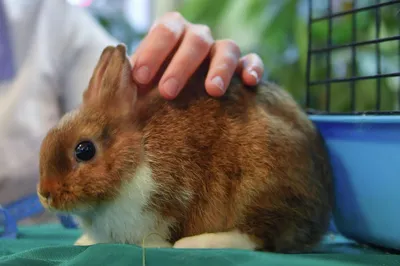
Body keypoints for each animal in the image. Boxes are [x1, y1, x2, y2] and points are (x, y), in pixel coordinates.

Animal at [37, 43, 332, 251]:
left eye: (84, 150)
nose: (45, 194)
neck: (139, 152)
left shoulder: (166, 204)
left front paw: (156, 246)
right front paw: (84, 241)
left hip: (260, 186)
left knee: (257, 237)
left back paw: (196, 243)